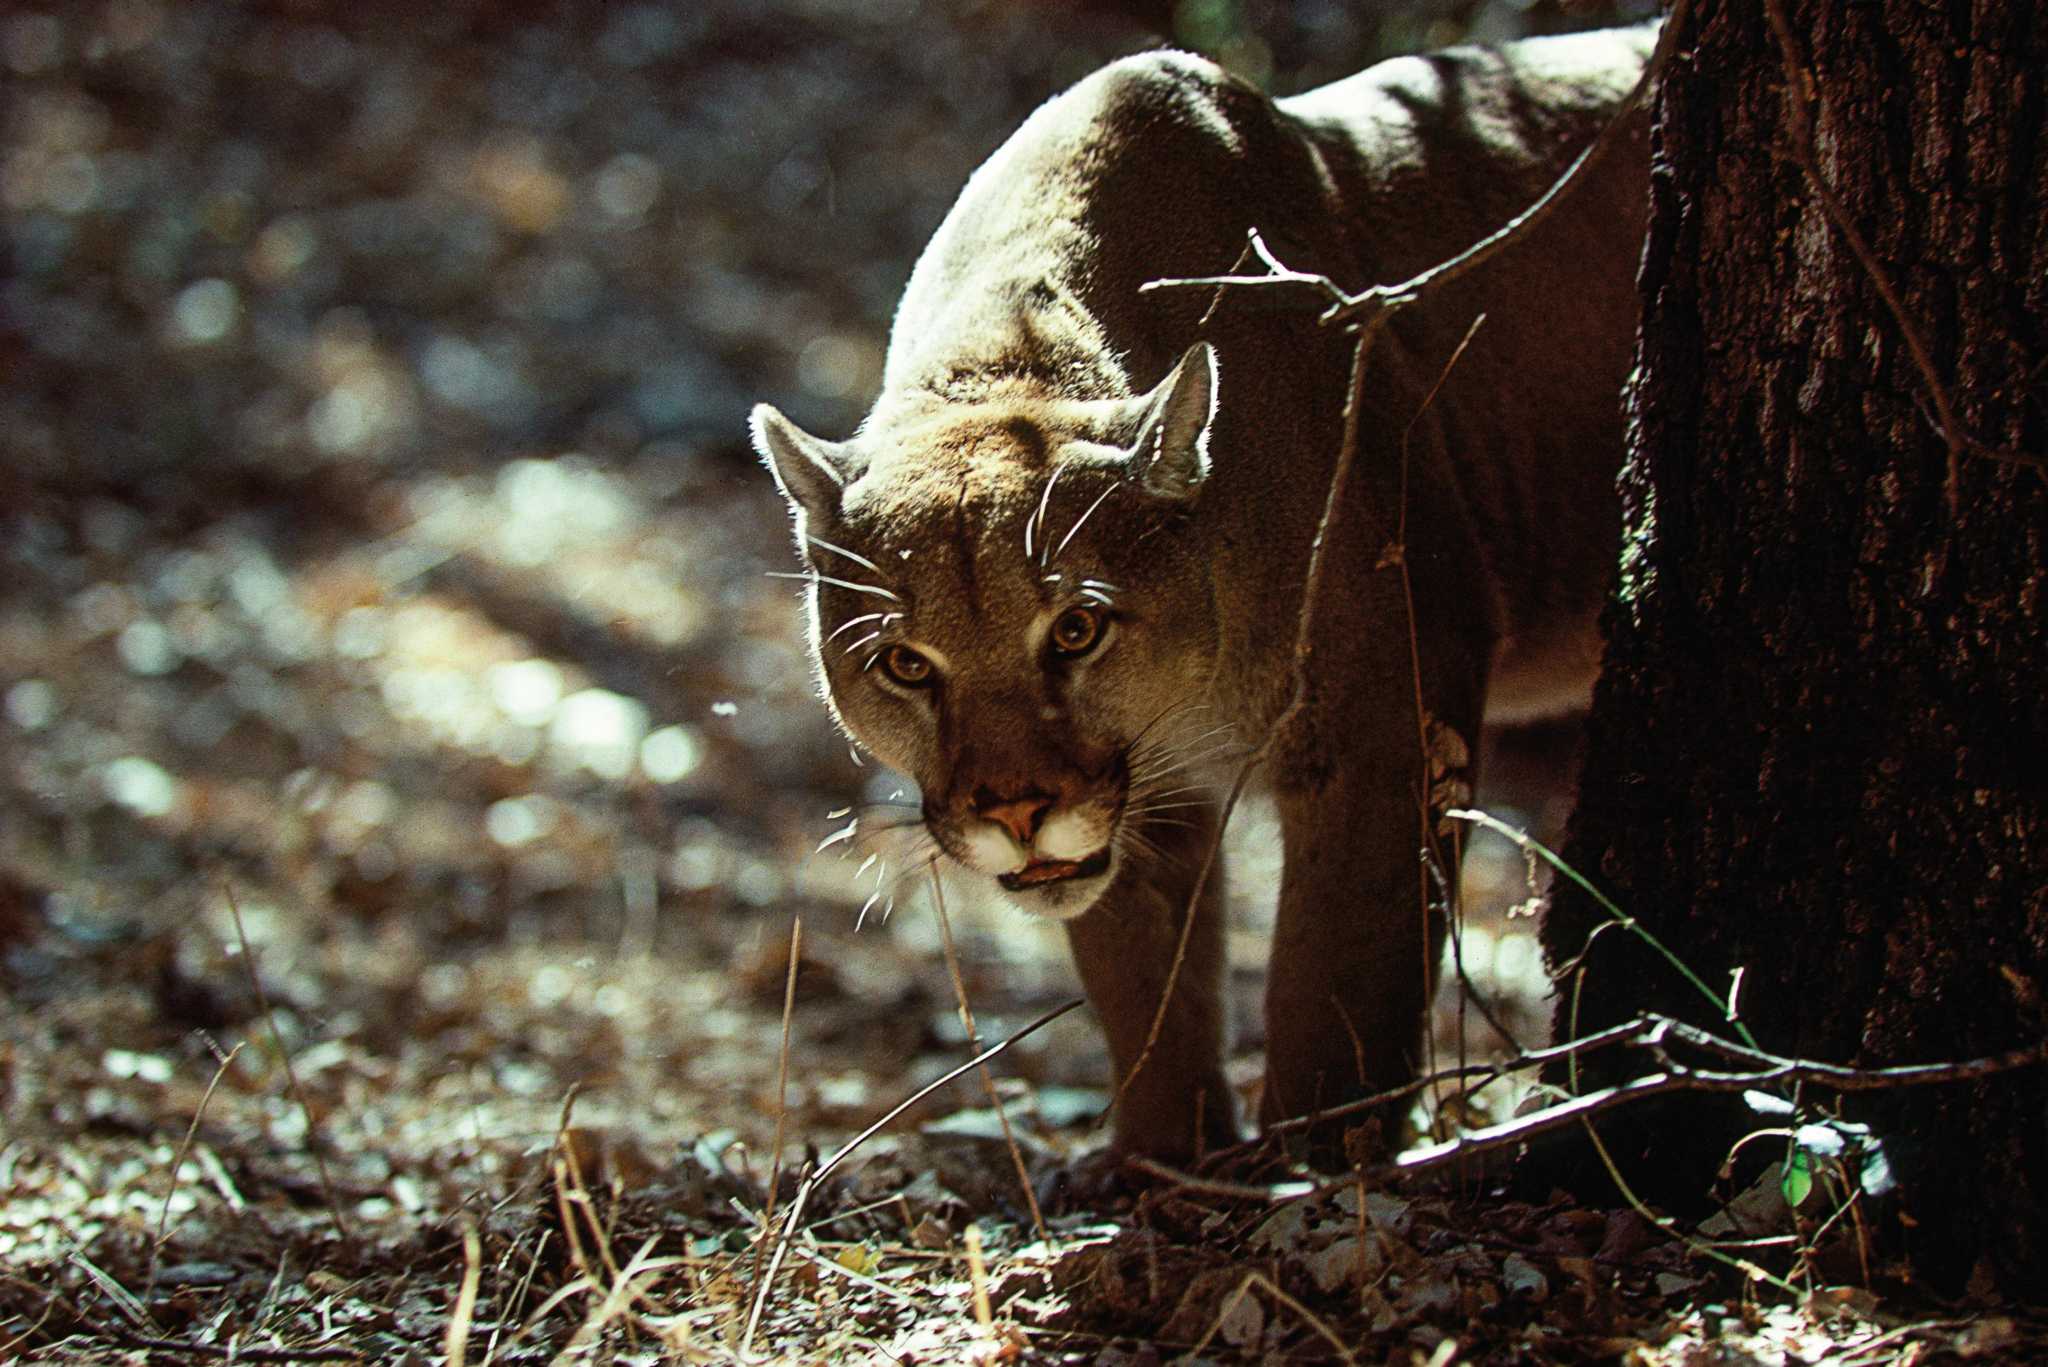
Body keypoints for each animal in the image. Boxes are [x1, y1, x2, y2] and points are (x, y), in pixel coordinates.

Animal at [753, 24, 1646, 1164]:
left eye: (1076, 630)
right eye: (905, 664)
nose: (1017, 811)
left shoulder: (1383, 730)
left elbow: (1337, 979)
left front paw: (1316, 1160)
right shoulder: (1152, 802)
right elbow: (1142, 980)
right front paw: (1162, 1159)